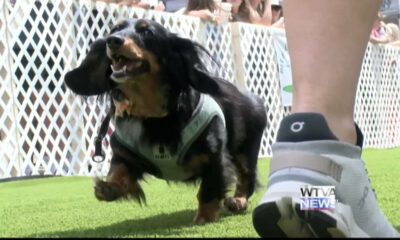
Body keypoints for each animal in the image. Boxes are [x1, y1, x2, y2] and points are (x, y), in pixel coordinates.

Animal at [64, 18, 268, 223]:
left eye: (147, 32)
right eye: (114, 29)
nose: (113, 40)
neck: (153, 116)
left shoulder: (215, 156)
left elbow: (209, 189)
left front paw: (204, 217)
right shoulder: (125, 154)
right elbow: (119, 171)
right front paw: (109, 187)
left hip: (245, 150)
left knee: (247, 177)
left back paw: (238, 201)